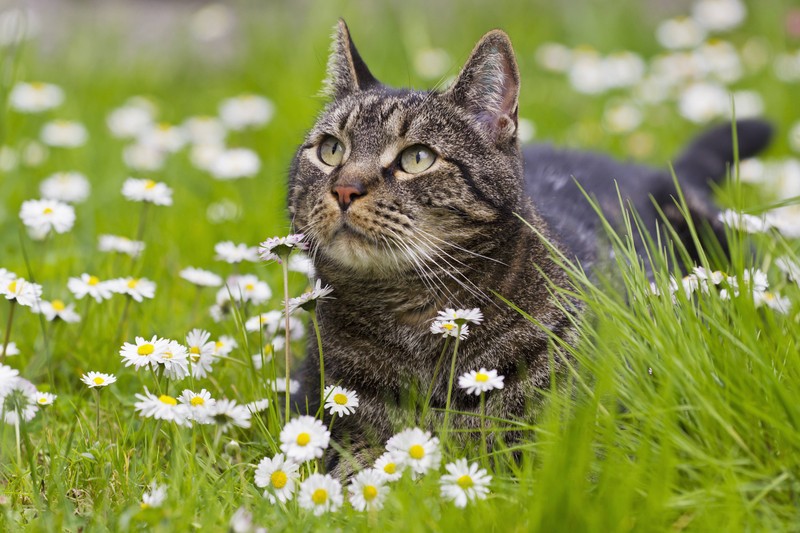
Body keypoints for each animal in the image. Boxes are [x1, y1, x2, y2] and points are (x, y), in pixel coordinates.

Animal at [286, 19, 768, 470]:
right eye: (331, 150)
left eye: (417, 158)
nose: (345, 189)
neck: (416, 324)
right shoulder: (321, 413)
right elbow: (354, 471)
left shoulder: (580, 441)